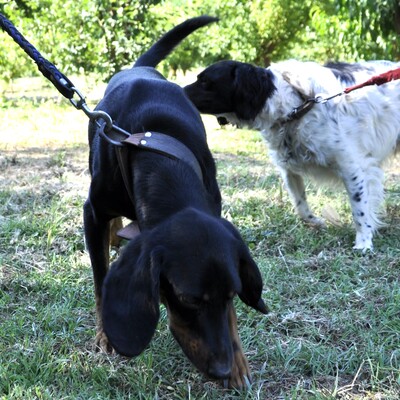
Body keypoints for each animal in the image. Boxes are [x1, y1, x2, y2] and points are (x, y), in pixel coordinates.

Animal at [83, 17, 268, 390]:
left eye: (233, 294)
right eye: (187, 299)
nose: (221, 369)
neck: (157, 146)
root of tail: (139, 68)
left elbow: (231, 319)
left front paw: (238, 362)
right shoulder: (91, 215)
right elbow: (100, 283)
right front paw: (106, 336)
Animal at [186, 59, 400, 250]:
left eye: (205, 81)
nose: (179, 90)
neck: (296, 107)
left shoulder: (353, 167)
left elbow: (360, 209)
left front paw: (363, 242)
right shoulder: (288, 169)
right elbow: (300, 206)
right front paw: (317, 222)